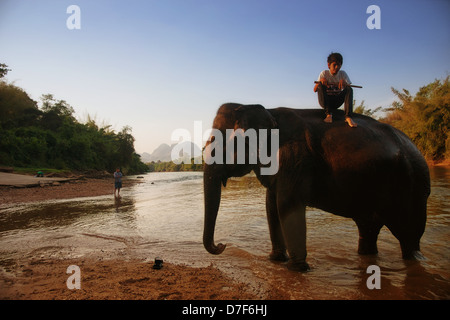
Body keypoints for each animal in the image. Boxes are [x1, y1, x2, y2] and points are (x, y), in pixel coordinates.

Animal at [202, 104, 430, 272]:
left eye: (217, 143)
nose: (222, 245)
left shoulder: (294, 157)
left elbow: (286, 204)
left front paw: (296, 270)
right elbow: (271, 206)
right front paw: (276, 260)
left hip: (411, 189)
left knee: (408, 237)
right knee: (369, 230)